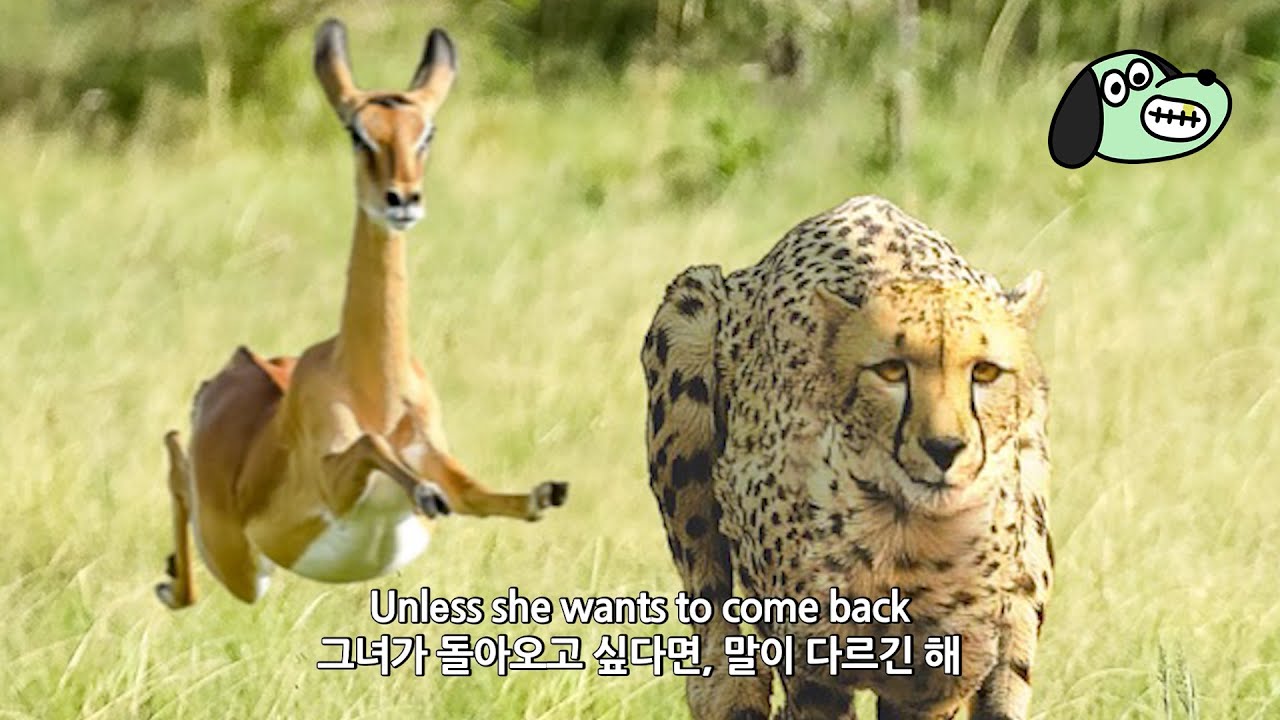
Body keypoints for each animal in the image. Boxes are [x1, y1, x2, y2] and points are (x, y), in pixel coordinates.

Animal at [156, 19, 568, 609]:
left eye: (426, 132)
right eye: (357, 132)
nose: (403, 199)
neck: (374, 390)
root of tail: (232, 368)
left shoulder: (437, 455)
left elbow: (480, 492)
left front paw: (544, 492)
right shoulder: (336, 480)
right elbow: (375, 448)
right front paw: (426, 492)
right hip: (240, 565)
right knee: (174, 460)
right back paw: (169, 582)